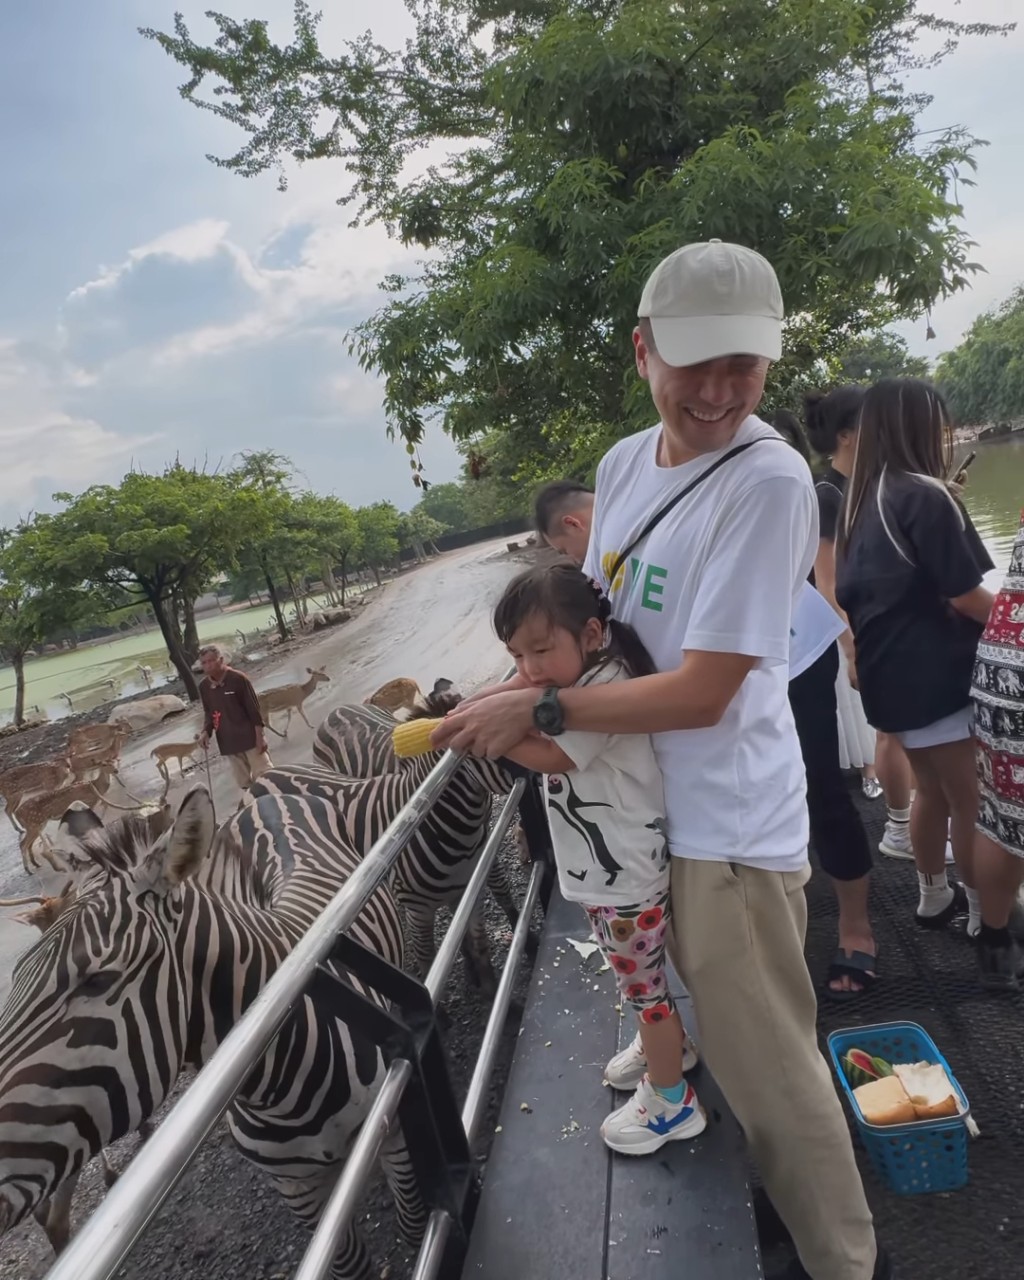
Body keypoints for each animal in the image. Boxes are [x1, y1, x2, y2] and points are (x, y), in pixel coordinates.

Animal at [0, 783, 419, 1274]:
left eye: (97, 980)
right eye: (15, 976)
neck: (280, 1087)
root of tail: (265, 798)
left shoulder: (395, 1132)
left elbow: (415, 1231)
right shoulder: (296, 1187)